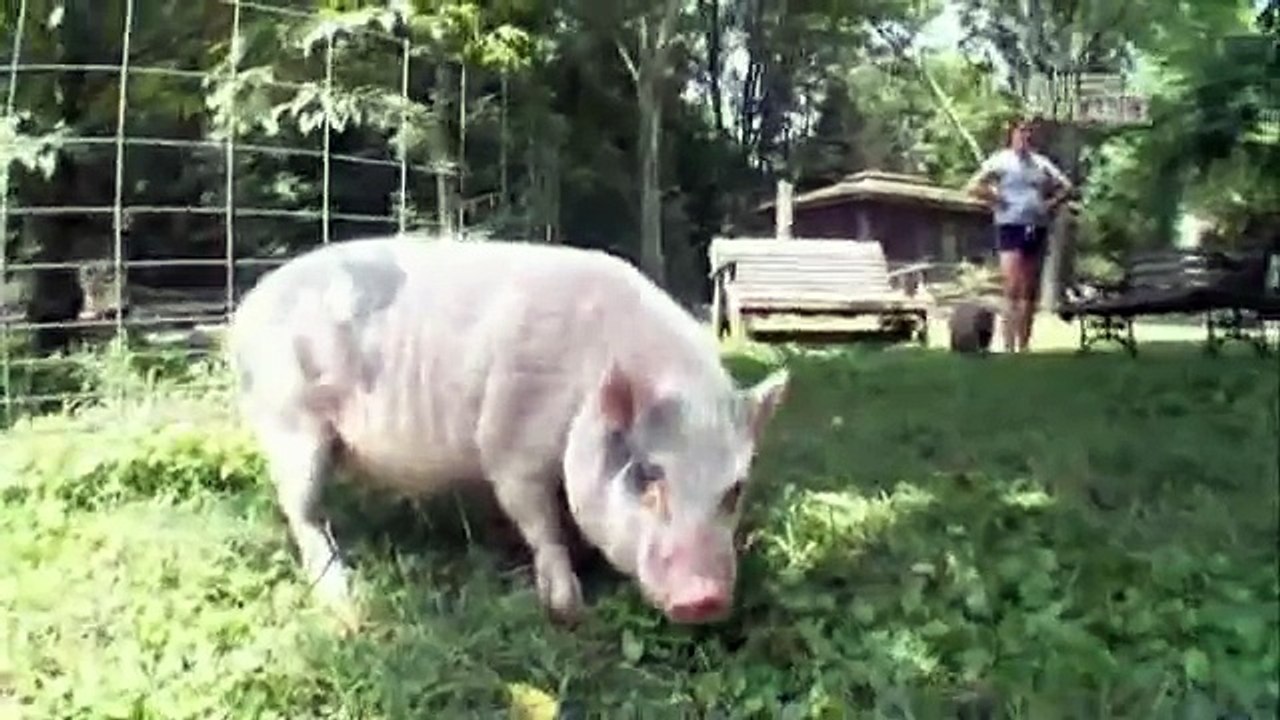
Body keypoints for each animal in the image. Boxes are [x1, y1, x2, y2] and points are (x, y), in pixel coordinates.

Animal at [226, 233, 790, 625]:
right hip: (289, 422)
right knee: (303, 513)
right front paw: (568, 609)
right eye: (648, 474)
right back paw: (343, 598)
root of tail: (245, 309)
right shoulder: (510, 443)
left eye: (735, 489)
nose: (706, 599)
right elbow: (540, 523)